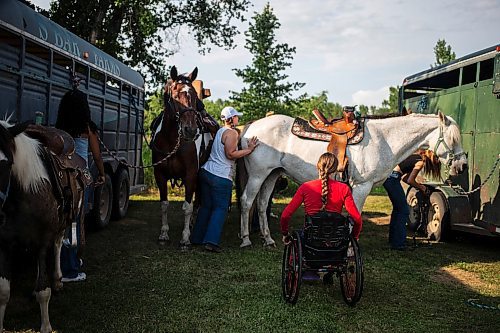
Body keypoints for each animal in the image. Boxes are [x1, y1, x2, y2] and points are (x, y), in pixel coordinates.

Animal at [0, 120, 85, 332]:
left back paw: (57, 280)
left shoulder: (41, 241)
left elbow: (43, 291)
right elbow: (3, 291)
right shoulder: (4, 243)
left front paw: (46, 326)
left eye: (6, 164)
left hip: (62, 225)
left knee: (57, 245)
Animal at [150, 66, 213, 248]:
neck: (171, 140)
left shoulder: (191, 174)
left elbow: (187, 207)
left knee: (196, 202)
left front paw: (185, 238)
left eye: (194, 96)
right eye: (176, 95)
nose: (190, 130)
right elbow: (164, 205)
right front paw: (164, 233)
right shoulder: (159, 174)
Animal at [236, 111, 466, 246]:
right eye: (453, 138)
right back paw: (246, 239)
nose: (462, 165)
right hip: (258, 174)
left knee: (262, 204)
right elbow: (354, 217)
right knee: (247, 202)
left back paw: (268, 239)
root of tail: (250, 127)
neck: (384, 139)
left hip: (272, 174)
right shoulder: (362, 187)